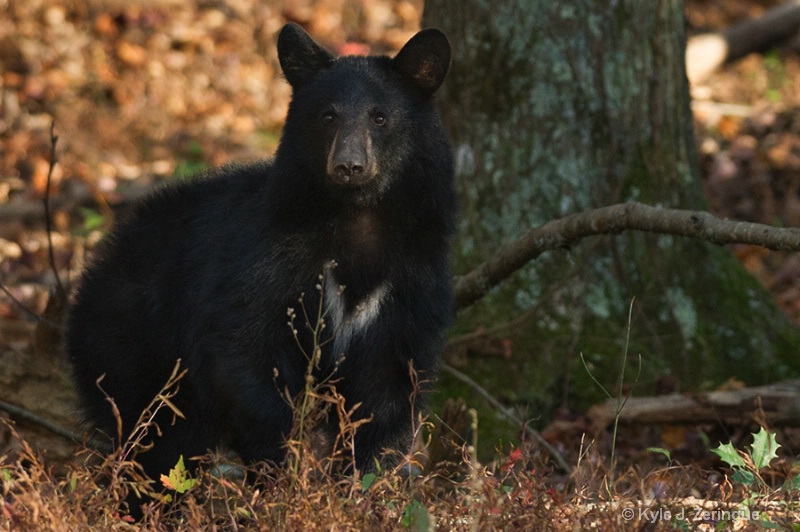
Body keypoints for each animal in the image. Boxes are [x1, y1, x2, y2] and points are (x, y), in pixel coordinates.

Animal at [68, 23, 454, 482]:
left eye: (379, 117)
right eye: (328, 116)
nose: (349, 166)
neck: (357, 219)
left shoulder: (413, 279)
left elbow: (391, 384)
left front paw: (362, 478)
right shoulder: (268, 258)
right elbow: (244, 344)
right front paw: (288, 463)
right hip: (132, 344)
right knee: (156, 439)